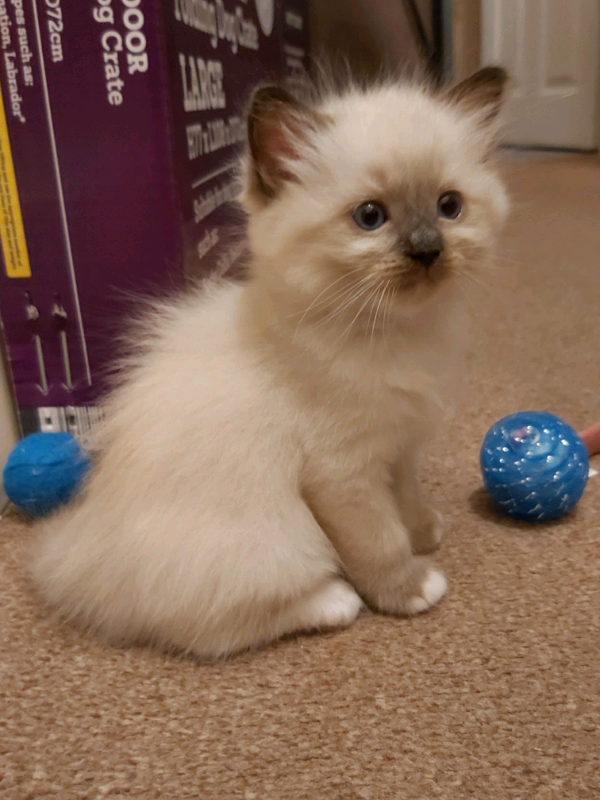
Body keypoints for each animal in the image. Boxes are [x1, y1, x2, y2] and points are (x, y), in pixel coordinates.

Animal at [31, 67, 506, 656]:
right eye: (370, 217)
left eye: (449, 207)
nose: (426, 250)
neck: (395, 335)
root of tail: (82, 557)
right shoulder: (341, 475)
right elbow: (380, 540)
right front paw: (411, 588)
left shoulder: (398, 446)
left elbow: (406, 498)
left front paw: (424, 530)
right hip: (271, 538)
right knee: (214, 627)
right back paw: (335, 600)